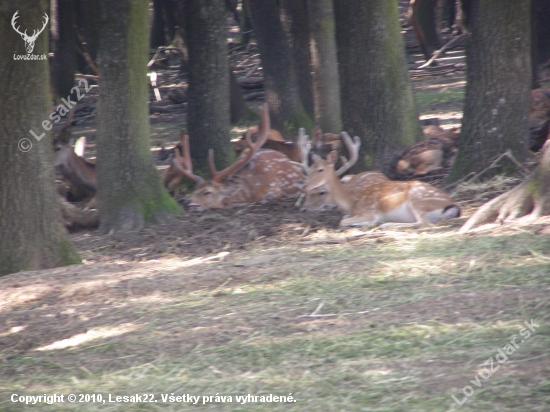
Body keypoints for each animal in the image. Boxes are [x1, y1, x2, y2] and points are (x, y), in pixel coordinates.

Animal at [306, 136, 462, 225]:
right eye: (310, 167)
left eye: (320, 169)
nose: (306, 185)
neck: (351, 201)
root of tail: (452, 206)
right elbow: (344, 218)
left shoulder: (368, 211)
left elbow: (343, 221)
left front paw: (369, 223)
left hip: (417, 198)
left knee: (424, 223)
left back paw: (388, 224)